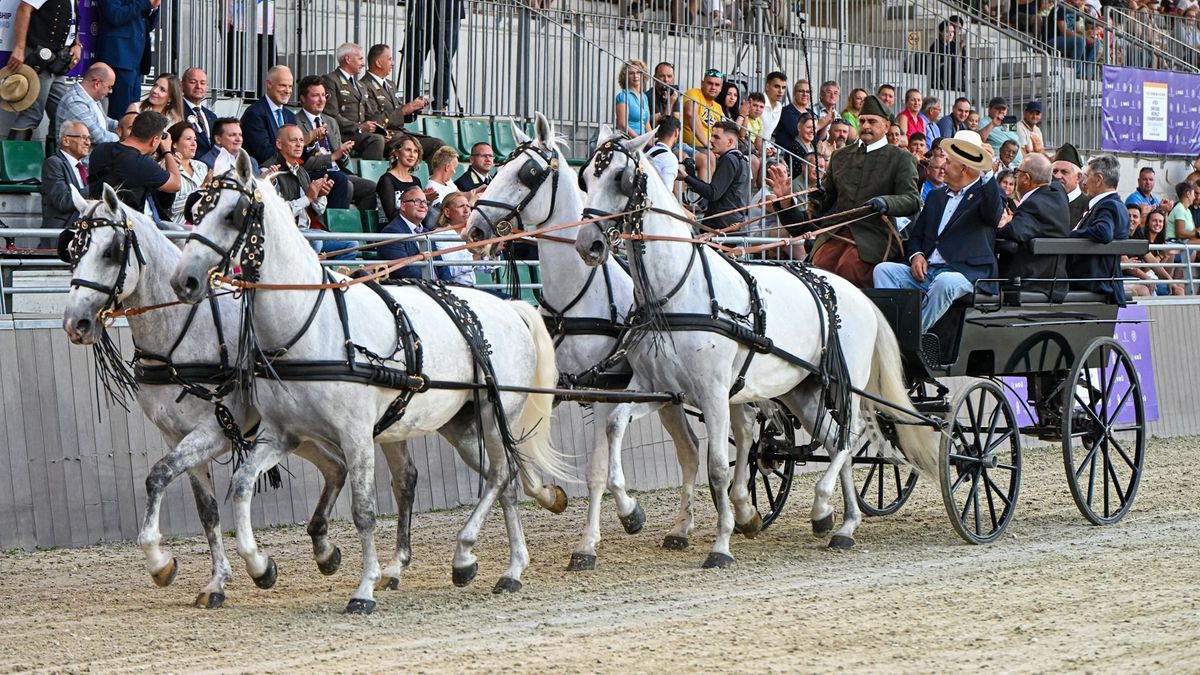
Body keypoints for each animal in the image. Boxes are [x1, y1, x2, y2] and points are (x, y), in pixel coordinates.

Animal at [60, 184, 350, 610]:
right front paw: (216, 583)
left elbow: (157, 476)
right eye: (73, 249)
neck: (180, 333)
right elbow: (207, 511)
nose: (74, 323)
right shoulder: (176, 436)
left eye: (110, 250)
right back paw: (325, 551)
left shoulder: (211, 432)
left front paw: (161, 562)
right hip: (299, 432)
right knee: (337, 467)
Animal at [169, 151, 571, 610]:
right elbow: (239, 485)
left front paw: (363, 588)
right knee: (501, 478)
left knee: (501, 475)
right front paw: (261, 566)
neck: (311, 324)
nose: (184, 280)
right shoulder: (281, 434)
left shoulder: (356, 434)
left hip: (492, 409)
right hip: (459, 422)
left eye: (232, 214)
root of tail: (509, 309)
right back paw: (501, 565)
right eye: (197, 210)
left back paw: (479, 557)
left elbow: (363, 510)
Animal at [460, 114, 700, 566]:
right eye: (496, 167)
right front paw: (551, 496)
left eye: (527, 173)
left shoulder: (608, 391)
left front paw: (595, 538)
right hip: (668, 397)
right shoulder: (553, 388)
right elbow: (519, 452)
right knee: (689, 447)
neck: (576, 297)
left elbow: (597, 470)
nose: (473, 227)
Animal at [568, 130, 936, 562]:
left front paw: (721, 545)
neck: (679, 292)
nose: (588, 245)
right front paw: (630, 512)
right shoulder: (656, 387)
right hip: (801, 390)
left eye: (621, 177)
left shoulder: (712, 393)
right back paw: (840, 522)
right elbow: (614, 425)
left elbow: (716, 469)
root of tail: (859, 295)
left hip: (846, 385)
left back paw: (826, 506)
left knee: (852, 435)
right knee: (834, 439)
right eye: (586, 177)